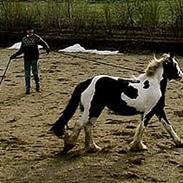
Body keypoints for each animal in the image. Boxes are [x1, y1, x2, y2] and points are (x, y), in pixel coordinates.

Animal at [50, 53, 183, 153]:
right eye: (175, 64)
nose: (181, 75)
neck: (154, 85)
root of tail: (86, 82)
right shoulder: (150, 111)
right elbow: (142, 127)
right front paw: (138, 146)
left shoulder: (158, 109)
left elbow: (168, 126)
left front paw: (179, 142)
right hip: (91, 109)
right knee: (79, 124)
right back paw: (70, 144)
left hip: (96, 109)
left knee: (88, 126)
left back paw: (93, 147)